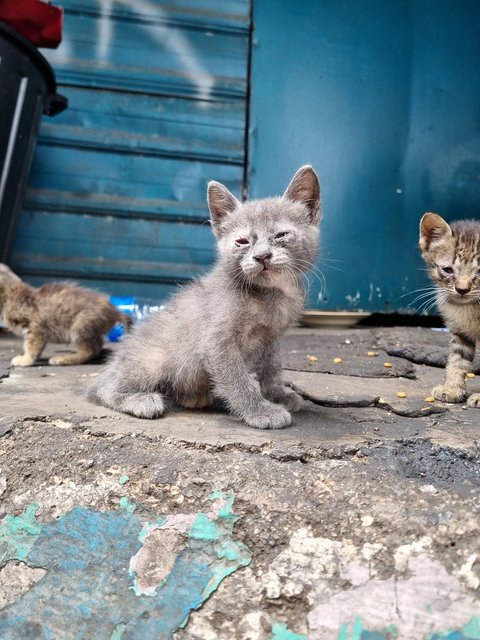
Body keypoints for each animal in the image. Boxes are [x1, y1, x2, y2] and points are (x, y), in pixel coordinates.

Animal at [0, 264, 131, 364]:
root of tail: (113, 309)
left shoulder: (36, 328)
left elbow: (31, 346)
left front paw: (25, 360)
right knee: (98, 346)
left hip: (80, 326)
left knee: (91, 350)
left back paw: (64, 359)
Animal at [89, 164, 322, 430]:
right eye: (242, 241)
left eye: (281, 235)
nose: (262, 256)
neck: (272, 294)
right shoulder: (216, 342)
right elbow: (237, 378)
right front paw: (260, 410)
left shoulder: (271, 338)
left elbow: (271, 367)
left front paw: (277, 394)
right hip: (153, 359)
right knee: (104, 389)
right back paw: (141, 400)